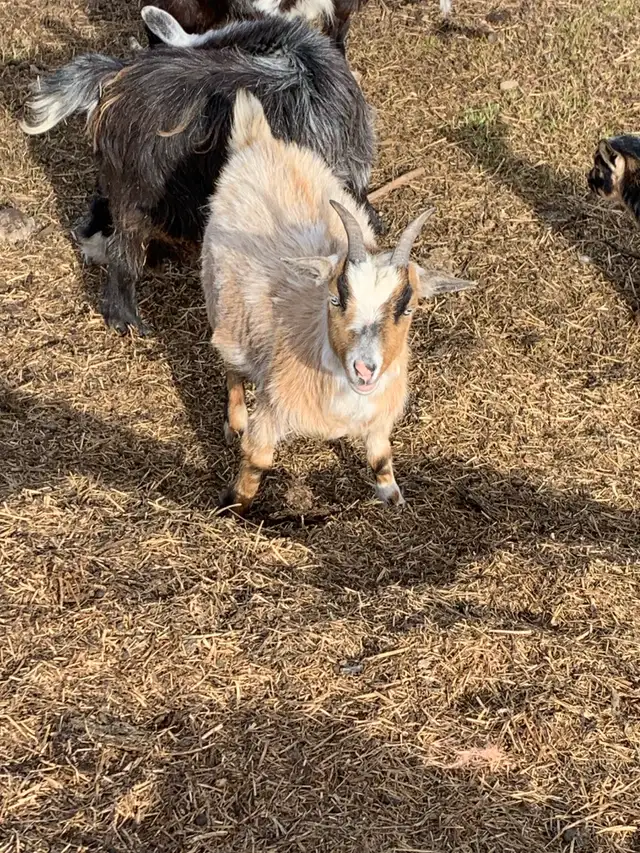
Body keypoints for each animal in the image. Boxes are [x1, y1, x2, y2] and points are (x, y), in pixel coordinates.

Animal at [203, 90, 473, 513]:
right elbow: (258, 458)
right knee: (230, 363)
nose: (365, 369)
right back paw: (235, 420)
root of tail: (259, 142)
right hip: (219, 301)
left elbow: (380, 456)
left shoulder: (380, 416)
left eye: (408, 307)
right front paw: (233, 506)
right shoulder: (274, 405)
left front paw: (393, 497)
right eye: (336, 298)